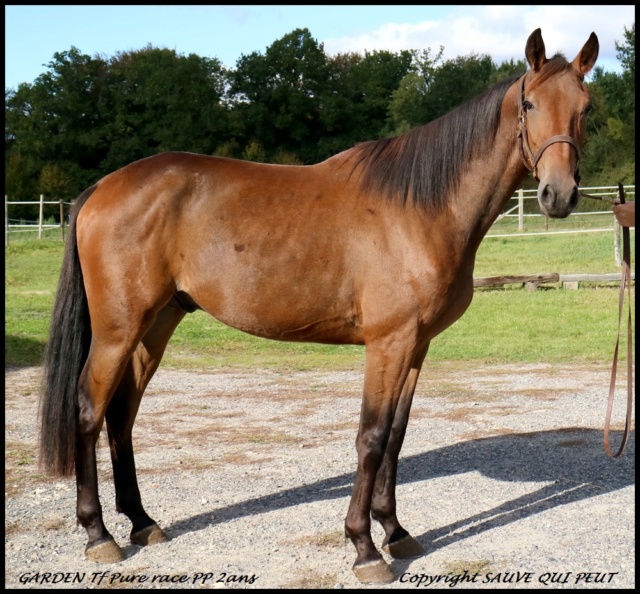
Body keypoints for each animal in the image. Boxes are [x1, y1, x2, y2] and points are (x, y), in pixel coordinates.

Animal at [38, 30, 600, 580]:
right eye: (529, 103)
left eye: (586, 107)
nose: (559, 195)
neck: (420, 207)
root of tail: (101, 188)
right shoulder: (388, 343)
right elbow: (371, 437)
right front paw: (365, 548)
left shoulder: (416, 346)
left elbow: (396, 436)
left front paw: (395, 531)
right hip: (118, 329)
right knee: (89, 410)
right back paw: (98, 534)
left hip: (158, 324)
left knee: (122, 414)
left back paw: (140, 521)